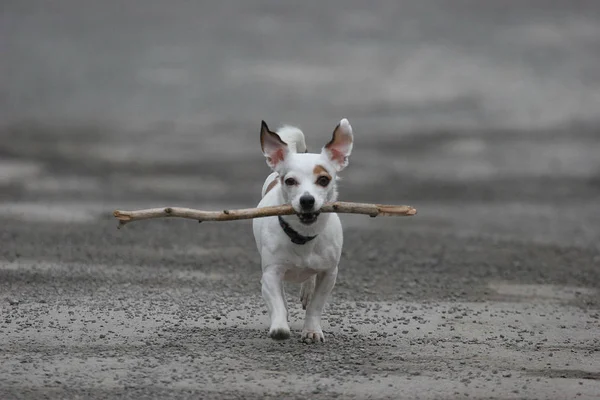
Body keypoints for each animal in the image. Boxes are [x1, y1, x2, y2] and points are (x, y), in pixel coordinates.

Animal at [252, 119, 354, 344]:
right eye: (290, 181)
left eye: (324, 180)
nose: (307, 200)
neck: (303, 237)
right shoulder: (271, 274)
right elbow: (277, 301)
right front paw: (280, 326)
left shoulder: (329, 274)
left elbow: (316, 305)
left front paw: (312, 330)